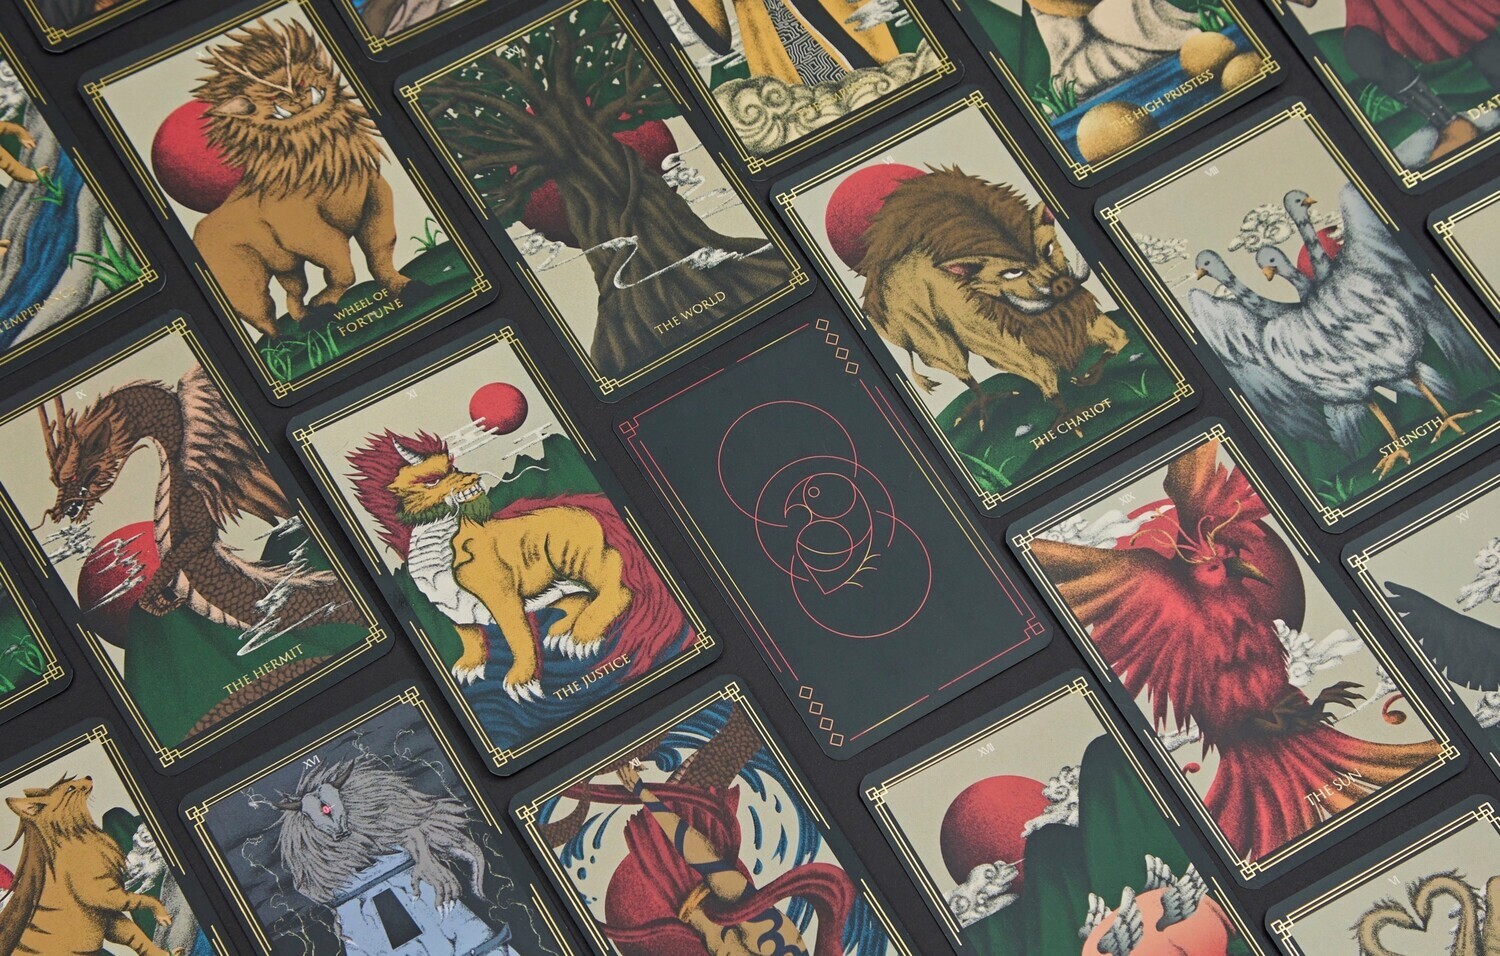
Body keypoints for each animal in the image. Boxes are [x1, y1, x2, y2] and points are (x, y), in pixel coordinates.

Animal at [191, 18, 408, 338]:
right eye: (268, 96)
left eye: (312, 68)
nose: (297, 92)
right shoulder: (301, 228)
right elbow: (341, 263)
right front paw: (327, 300)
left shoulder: (376, 196)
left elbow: (380, 249)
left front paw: (401, 286)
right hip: (243, 276)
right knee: (263, 315)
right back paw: (285, 342)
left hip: (286, 267)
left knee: (292, 295)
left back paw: (305, 322)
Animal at [856, 166, 1128, 432]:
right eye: (1012, 273)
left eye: (1048, 249)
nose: (1062, 284)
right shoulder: (1011, 351)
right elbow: (1048, 385)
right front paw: (1071, 417)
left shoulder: (1087, 320)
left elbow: (1119, 339)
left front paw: (1091, 375)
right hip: (935, 343)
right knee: (965, 375)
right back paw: (985, 407)